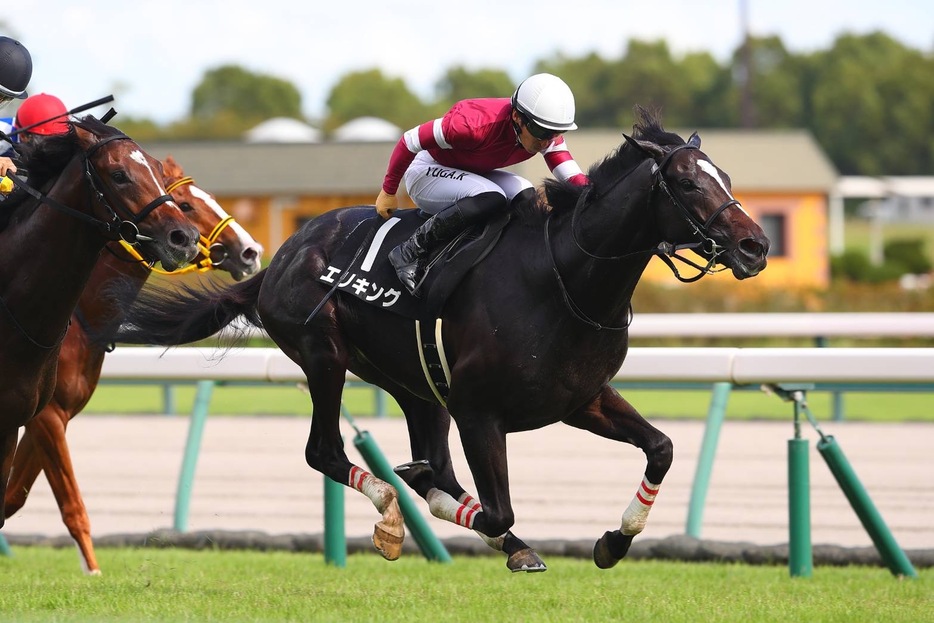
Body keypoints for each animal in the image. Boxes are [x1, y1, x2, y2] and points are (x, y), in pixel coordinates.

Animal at [111, 106, 768, 572]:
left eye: (727, 178)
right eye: (687, 184)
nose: (755, 245)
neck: (563, 277)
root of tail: (280, 259)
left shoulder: (580, 398)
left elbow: (661, 448)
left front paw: (613, 540)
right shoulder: (480, 410)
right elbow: (496, 508)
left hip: (415, 385)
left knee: (432, 459)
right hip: (325, 355)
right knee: (326, 451)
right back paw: (395, 512)